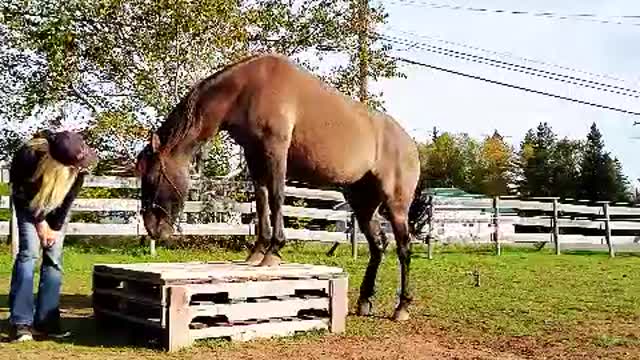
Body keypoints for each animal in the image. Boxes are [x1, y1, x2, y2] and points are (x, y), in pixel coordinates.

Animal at [136, 53, 420, 320]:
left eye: (152, 178)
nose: (152, 228)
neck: (246, 88)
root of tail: (410, 145)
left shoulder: (275, 151)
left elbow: (276, 198)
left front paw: (274, 251)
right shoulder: (254, 156)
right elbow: (261, 201)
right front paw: (257, 252)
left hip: (395, 206)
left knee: (404, 248)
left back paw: (402, 307)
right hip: (363, 206)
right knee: (378, 246)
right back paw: (364, 301)